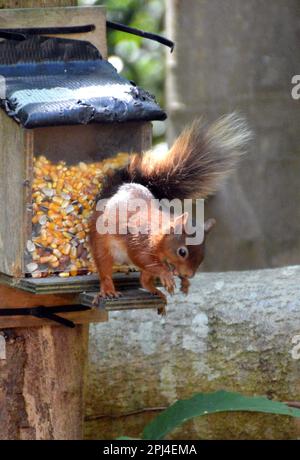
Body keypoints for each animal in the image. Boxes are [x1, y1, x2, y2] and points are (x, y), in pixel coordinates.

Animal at [89, 112, 251, 306]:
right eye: (182, 251)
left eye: (203, 252)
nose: (190, 274)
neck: (158, 236)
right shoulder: (138, 241)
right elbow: (142, 258)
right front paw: (166, 274)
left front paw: (184, 281)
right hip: (101, 243)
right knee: (105, 268)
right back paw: (108, 290)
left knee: (144, 279)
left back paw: (156, 291)